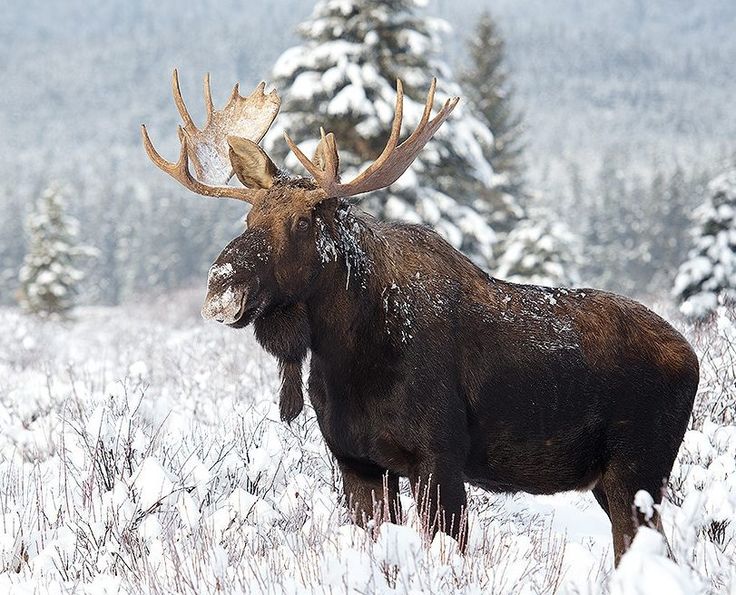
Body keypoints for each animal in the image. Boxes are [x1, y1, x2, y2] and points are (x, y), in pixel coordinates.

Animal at [141, 70, 700, 564]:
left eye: (301, 221)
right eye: (249, 216)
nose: (221, 283)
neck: (346, 359)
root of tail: (692, 356)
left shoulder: (439, 458)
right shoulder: (359, 465)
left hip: (638, 468)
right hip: (612, 480)